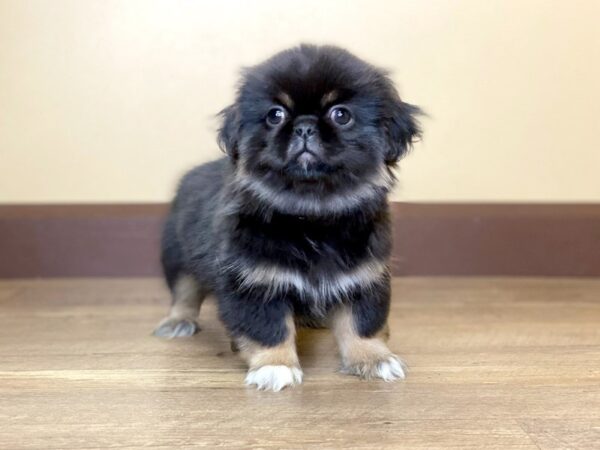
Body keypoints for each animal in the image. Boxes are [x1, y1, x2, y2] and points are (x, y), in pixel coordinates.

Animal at [152, 44, 420, 392]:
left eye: (341, 115)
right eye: (275, 115)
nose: (304, 126)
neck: (311, 216)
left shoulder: (364, 278)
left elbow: (363, 324)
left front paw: (373, 359)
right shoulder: (254, 283)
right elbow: (268, 329)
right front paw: (275, 366)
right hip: (177, 256)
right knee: (184, 291)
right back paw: (178, 322)